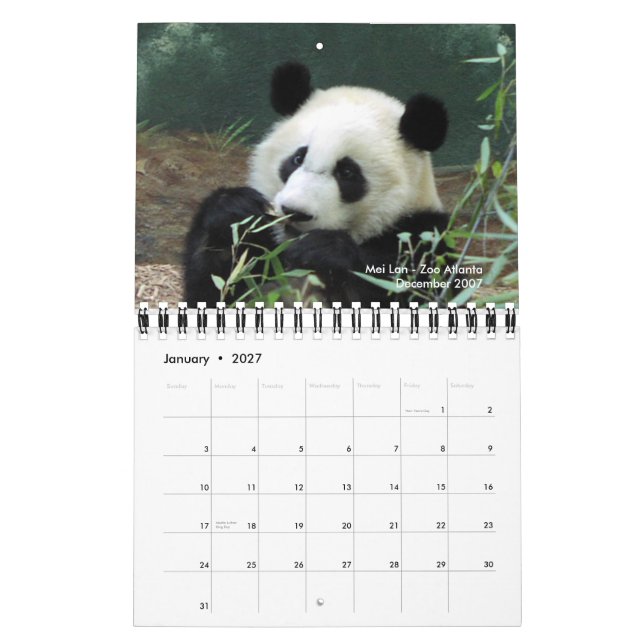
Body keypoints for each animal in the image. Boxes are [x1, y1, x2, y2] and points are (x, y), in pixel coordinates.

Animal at [184, 61, 452, 307]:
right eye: (298, 158)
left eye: (347, 173)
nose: (295, 212)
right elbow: (216, 289)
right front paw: (236, 211)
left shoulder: (422, 234)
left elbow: (405, 288)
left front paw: (325, 250)